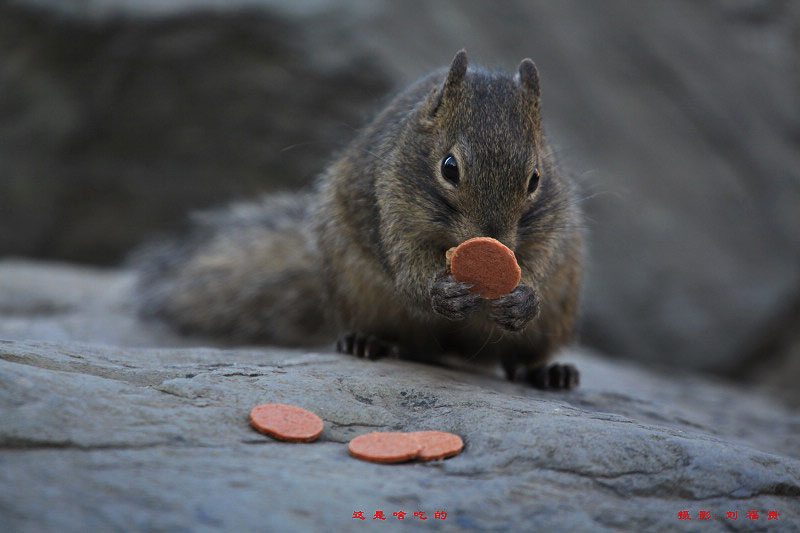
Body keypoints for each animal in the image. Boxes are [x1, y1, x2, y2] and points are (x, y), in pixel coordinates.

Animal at [138, 51, 584, 390]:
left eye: (536, 178)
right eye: (449, 167)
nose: (496, 243)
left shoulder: (552, 226)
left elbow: (541, 260)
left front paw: (522, 298)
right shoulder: (391, 209)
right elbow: (406, 265)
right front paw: (441, 292)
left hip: (555, 316)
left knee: (517, 359)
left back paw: (549, 372)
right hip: (357, 291)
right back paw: (366, 343)